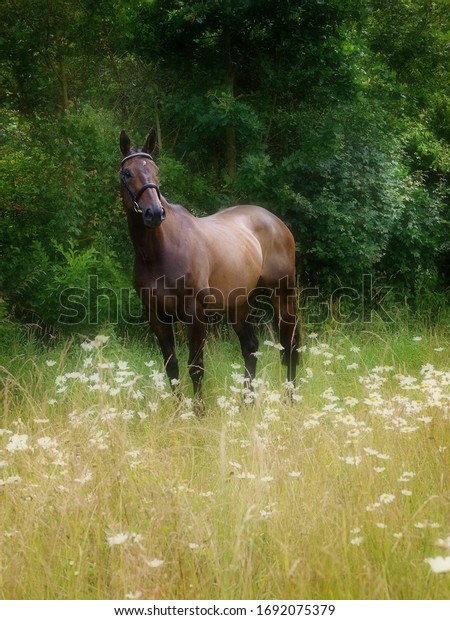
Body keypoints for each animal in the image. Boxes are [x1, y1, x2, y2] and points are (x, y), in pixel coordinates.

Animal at [121, 131, 300, 402]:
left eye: (155, 170)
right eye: (127, 173)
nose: (154, 213)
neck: (159, 252)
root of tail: (277, 223)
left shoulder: (195, 314)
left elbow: (195, 367)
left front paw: (199, 410)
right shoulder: (157, 317)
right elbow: (171, 368)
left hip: (282, 294)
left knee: (289, 345)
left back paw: (290, 399)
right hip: (239, 304)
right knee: (251, 347)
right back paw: (247, 402)